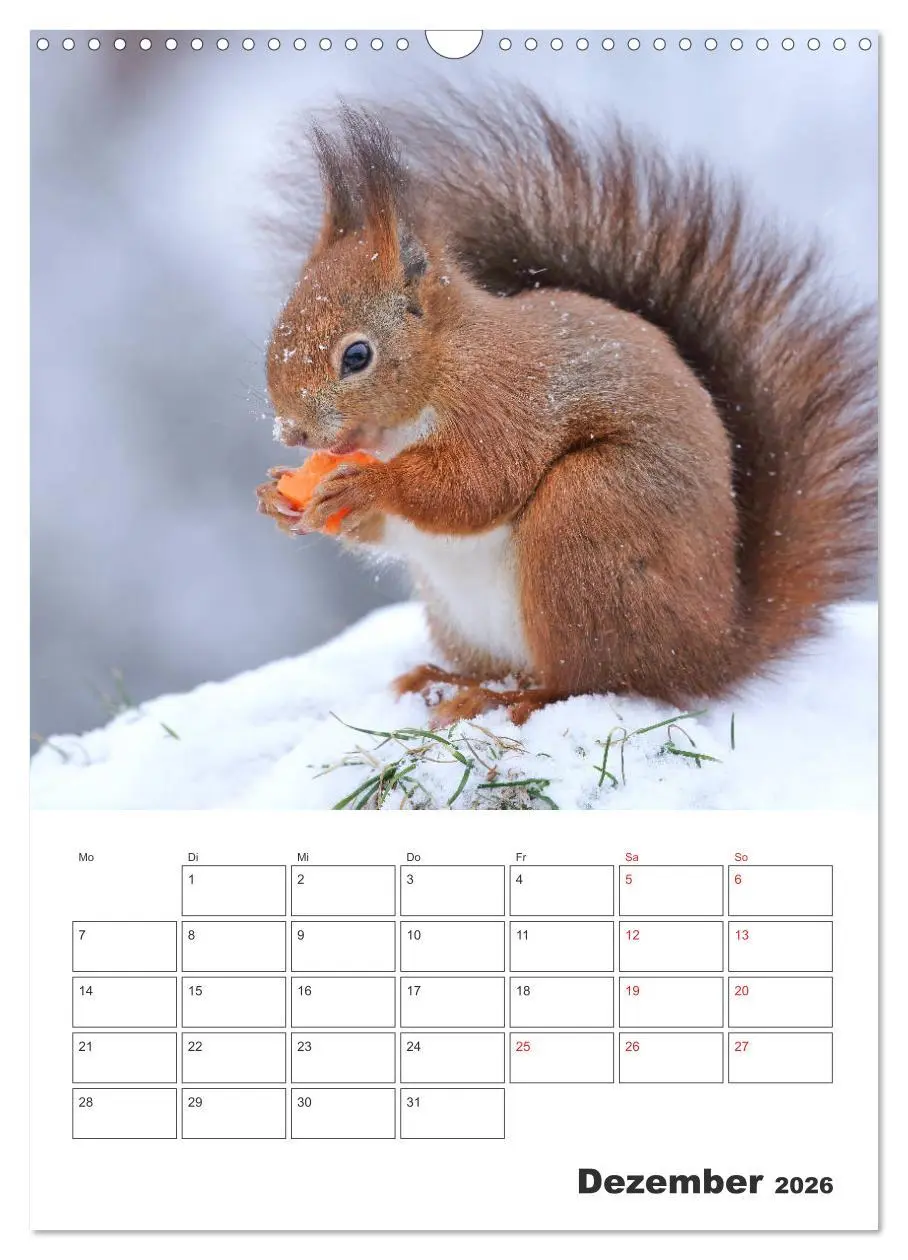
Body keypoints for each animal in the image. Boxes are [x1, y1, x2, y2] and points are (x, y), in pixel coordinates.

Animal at [258, 92, 876, 727]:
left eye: (357, 356)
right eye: (279, 329)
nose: (292, 431)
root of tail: (712, 647)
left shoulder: (500, 402)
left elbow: (478, 484)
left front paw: (368, 486)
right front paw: (278, 498)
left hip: (587, 517)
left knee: (586, 680)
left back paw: (505, 698)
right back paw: (445, 679)